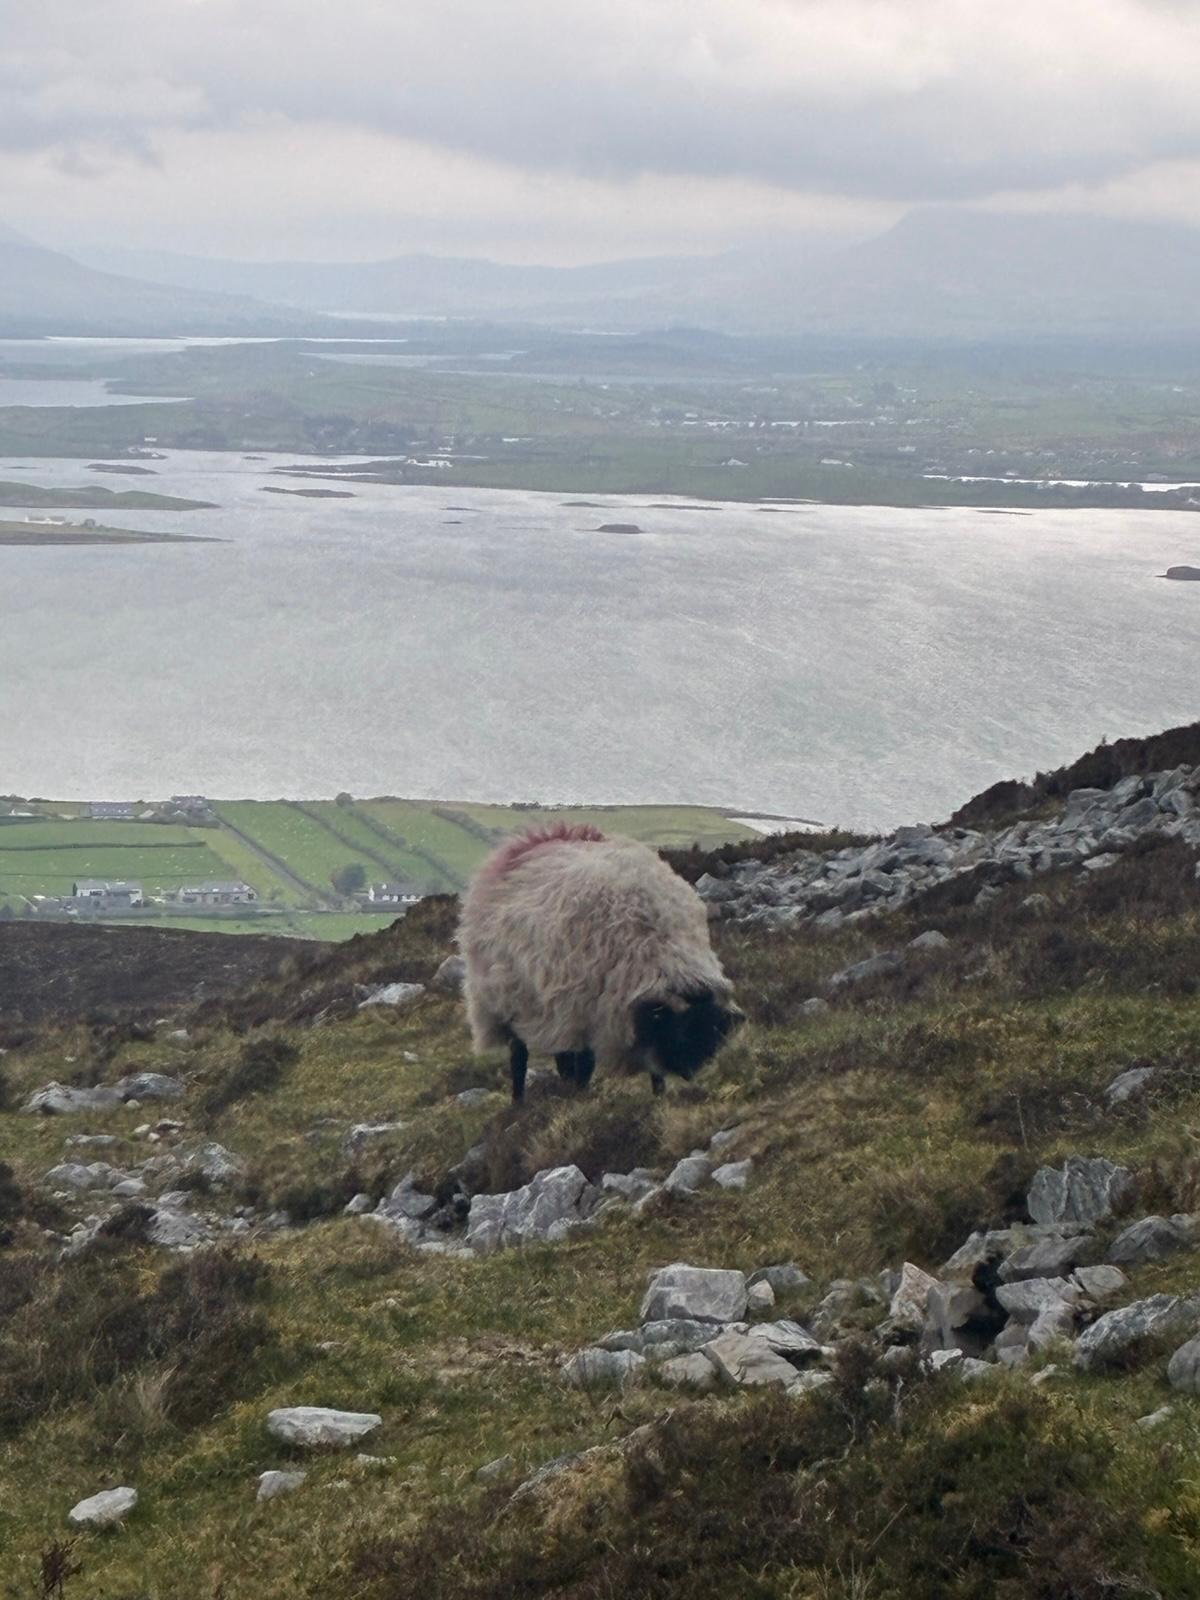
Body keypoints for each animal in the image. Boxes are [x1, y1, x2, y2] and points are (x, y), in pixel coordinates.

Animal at [457, 822, 744, 1102]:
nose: (690, 1074)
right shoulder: (586, 1011)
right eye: (682, 1033)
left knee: (560, 1055)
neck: (658, 945)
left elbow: (649, 1067)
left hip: (552, 1007)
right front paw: (582, 1098)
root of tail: (534, 840)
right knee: (519, 1056)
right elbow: (584, 1064)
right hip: (510, 1001)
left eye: (713, 1033)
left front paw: (658, 1097)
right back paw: (520, 1102)